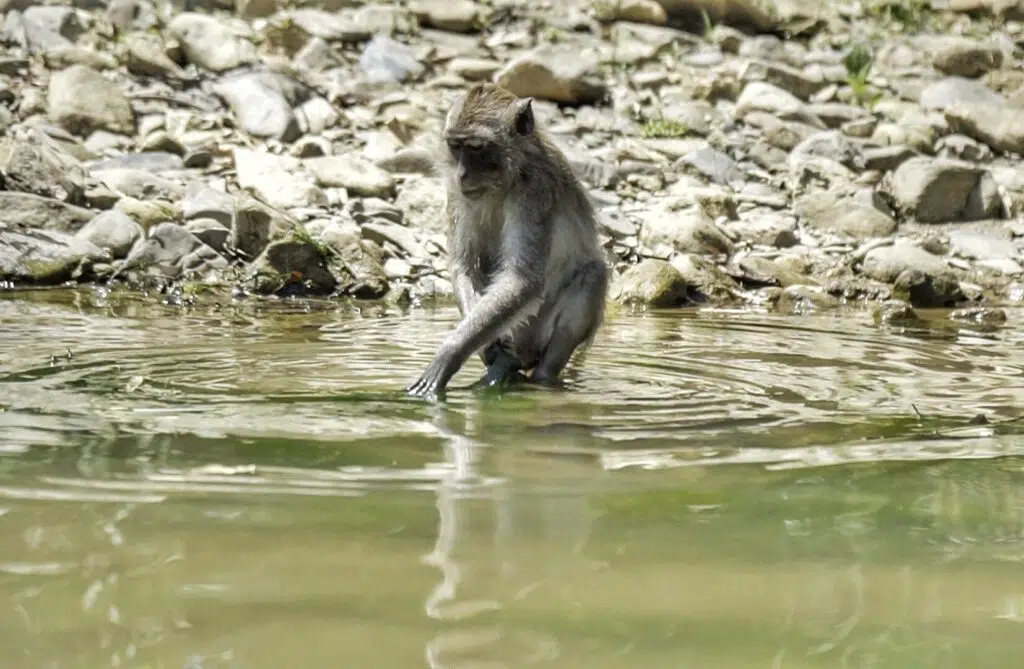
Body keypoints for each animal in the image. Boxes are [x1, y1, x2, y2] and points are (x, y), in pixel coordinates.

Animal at [406, 83, 609, 398]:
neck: (505, 179)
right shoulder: (455, 191)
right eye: (457, 147)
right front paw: (477, 347)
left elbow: (522, 279)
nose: (462, 174)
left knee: (593, 274)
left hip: (536, 333)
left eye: (476, 148)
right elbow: (465, 265)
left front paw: (449, 353)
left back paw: (540, 376)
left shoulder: (534, 192)